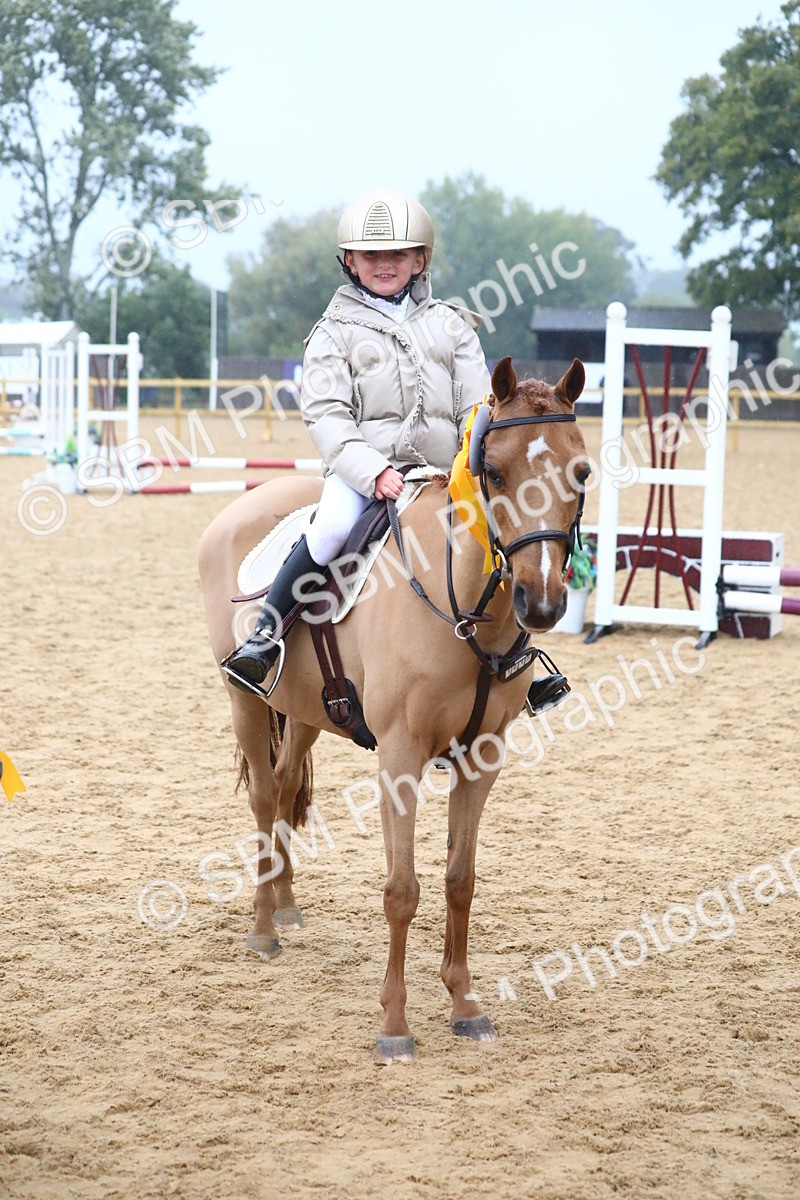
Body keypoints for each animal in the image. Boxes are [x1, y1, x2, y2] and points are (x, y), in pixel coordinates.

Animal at [200, 356, 589, 1063]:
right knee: (266, 800)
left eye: (582, 472)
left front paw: (465, 1005)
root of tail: (241, 507)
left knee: (290, 785)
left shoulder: (482, 759)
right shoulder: (401, 756)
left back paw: (287, 904)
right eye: (495, 472)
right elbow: (402, 890)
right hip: (245, 702)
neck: (461, 604)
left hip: (307, 712)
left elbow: (460, 879)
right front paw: (396, 1025)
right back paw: (265, 928)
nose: (542, 603)